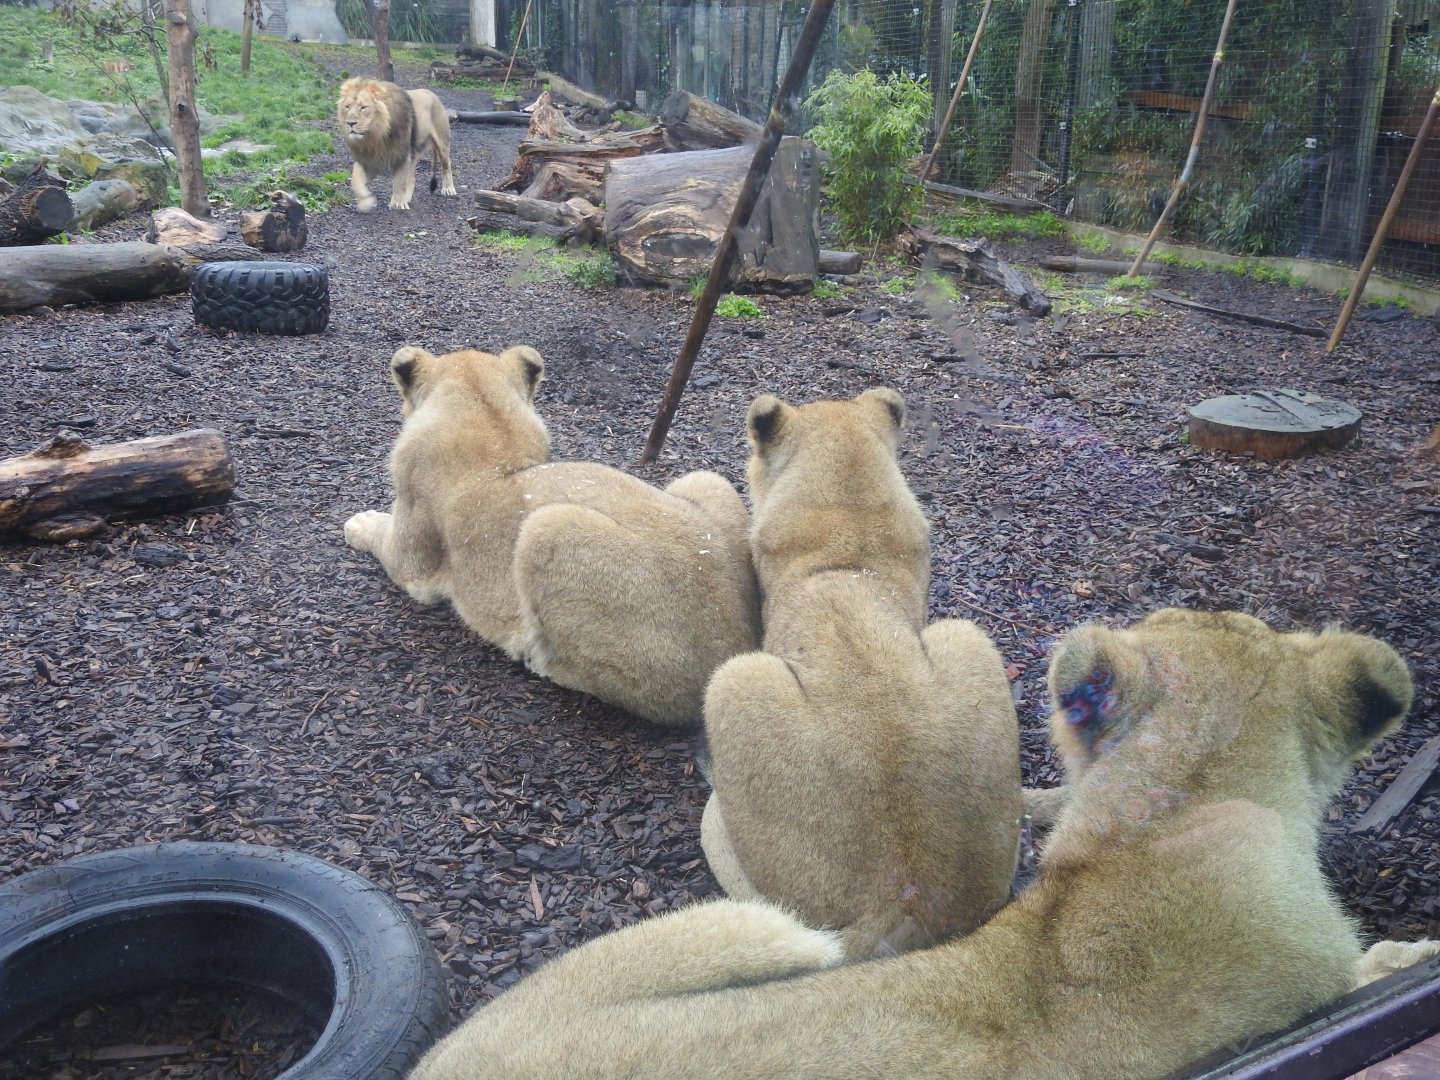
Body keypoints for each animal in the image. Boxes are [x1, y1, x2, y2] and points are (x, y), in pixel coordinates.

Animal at [336, 77, 457, 212]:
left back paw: (448, 189)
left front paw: (398, 203)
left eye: (363, 107)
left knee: (446, 165)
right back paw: (407, 198)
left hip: (442, 143)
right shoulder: (366, 158)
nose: (350, 123)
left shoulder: (402, 155)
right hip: (413, 152)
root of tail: (432, 94)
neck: (375, 135)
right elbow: (355, 181)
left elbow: (399, 182)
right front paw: (366, 202)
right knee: (412, 179)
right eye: (347, 106)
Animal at [343, 344, 760, 727]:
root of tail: (741, 644)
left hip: (549, 529)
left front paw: (356, 523)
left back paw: (539, 659)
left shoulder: (414, 560)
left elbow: (384, 540)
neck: (493, 429)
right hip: (706, 480)